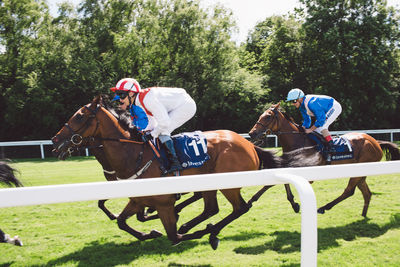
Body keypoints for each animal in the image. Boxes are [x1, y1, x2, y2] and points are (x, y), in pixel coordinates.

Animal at [52, 96, 318, 249]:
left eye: (80, 116)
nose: (55, 140)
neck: (133, 153)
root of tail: (248, 143)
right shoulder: (137, 198)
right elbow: (121, 221)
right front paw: (149, 232)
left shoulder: (163, 201)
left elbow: (172, 236)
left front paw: (188, 230)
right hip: (210, 183)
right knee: (212, 208)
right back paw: (196, 225)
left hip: (227, 183)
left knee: (239, 208)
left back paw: (210, 231)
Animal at [248, 102, 398, 218]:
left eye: (268, 116)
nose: (251, 133)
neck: (298, 142)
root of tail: (375, 142)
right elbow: (277, 183)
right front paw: (294, 204)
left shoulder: (308, 175)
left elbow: (274, 183)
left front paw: (251, 201)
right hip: (360, 172)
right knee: (366, 193)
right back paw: (363, 215)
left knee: (349, 191)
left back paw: (323, 208)